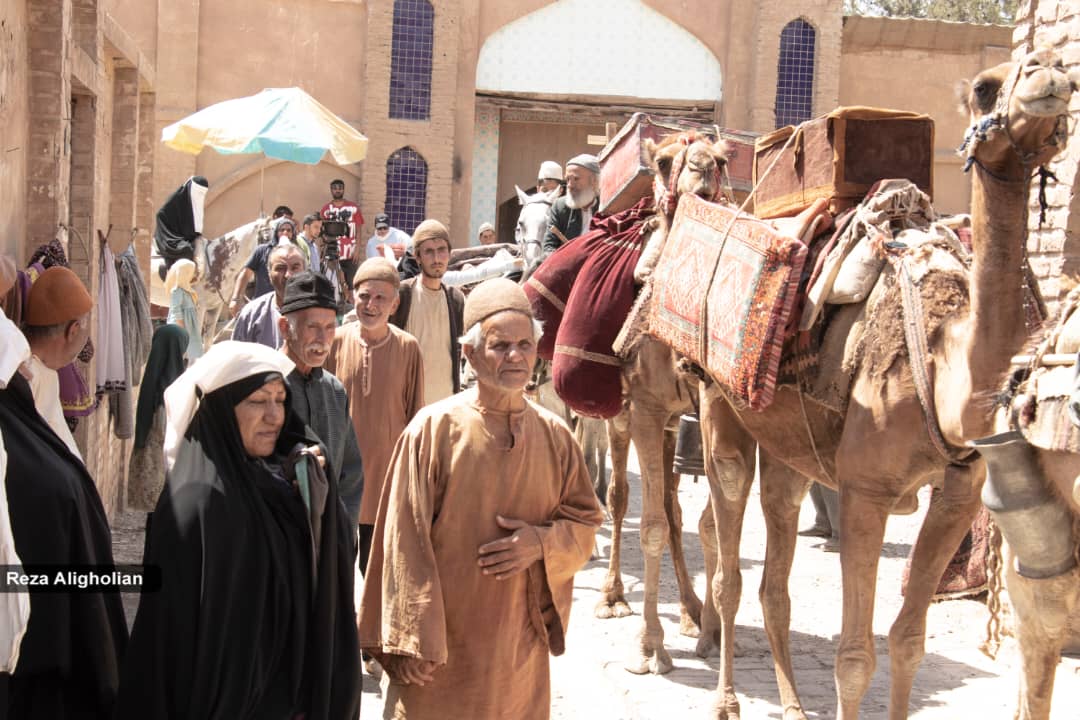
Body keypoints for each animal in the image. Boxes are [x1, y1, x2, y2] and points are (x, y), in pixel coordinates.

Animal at [669, 47, 1075, 716]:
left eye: (1069, 72)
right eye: (986, 88)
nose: (1049, 74)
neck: (944, 365)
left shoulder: (960, 493)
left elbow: (907, 640)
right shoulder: (867, 489)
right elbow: (855, 658)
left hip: (789, 444)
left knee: (775, 564)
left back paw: (790, 701)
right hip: (720, 408)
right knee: (727, 561)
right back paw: (726, 698)